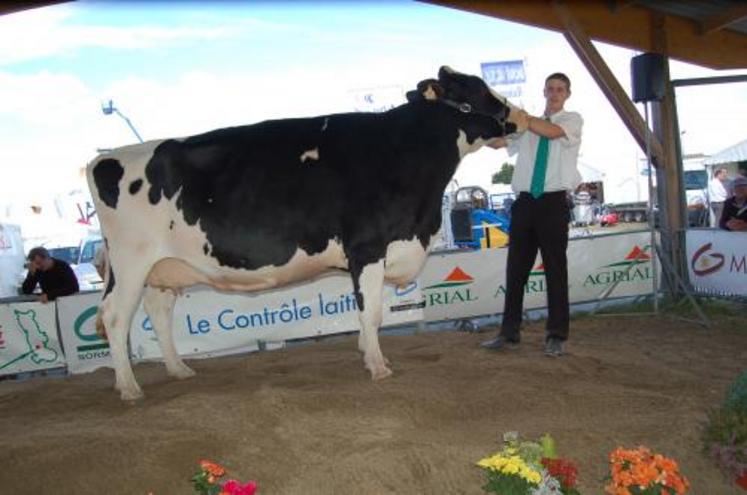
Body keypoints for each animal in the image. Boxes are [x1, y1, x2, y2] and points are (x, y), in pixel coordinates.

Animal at [89, 67, 524, 400]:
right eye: (476, 88)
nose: (518, 116)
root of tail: (106, 158)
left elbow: (368, 313)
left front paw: (371, 355)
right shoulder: (367, 247)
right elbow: (373, 312)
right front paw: (378, 366)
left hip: (162, 268)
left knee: (158, 314)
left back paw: (179, 369)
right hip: (130, 260)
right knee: (115, 316)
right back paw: (129, 388)